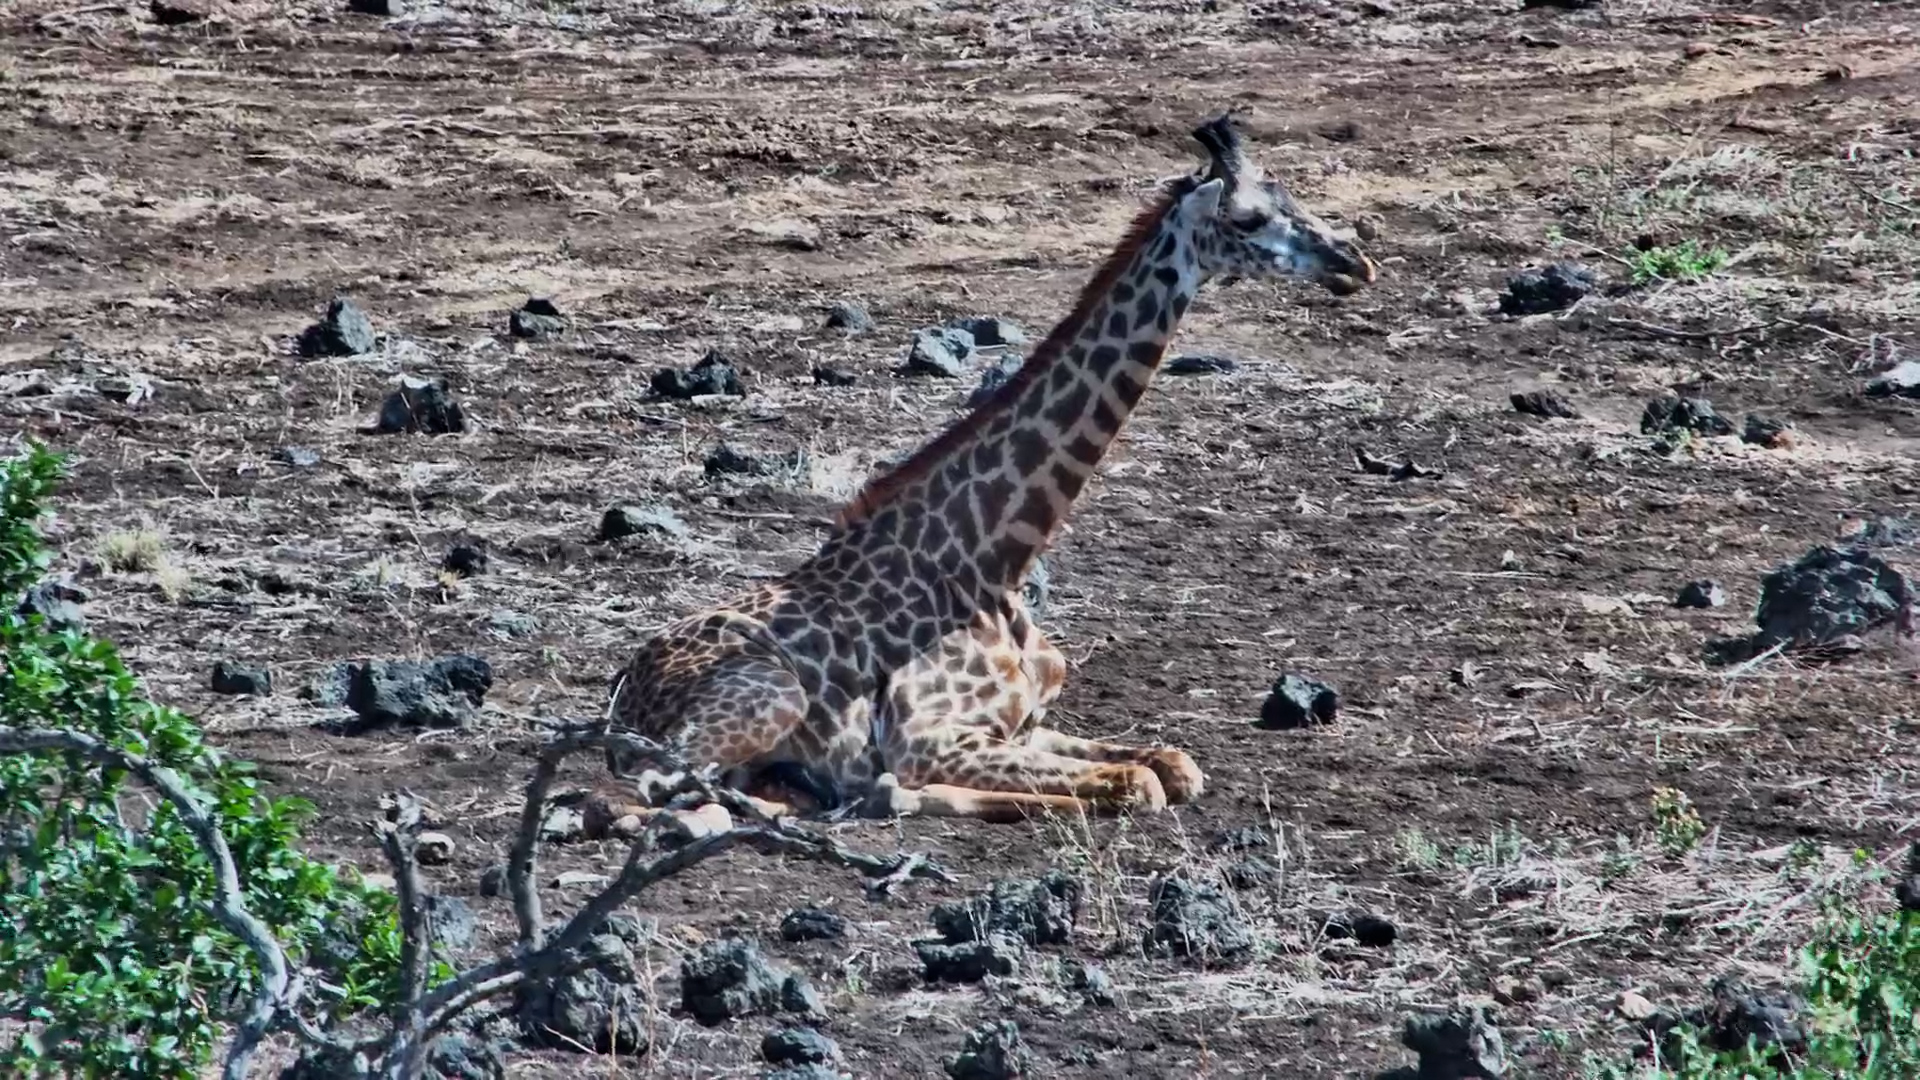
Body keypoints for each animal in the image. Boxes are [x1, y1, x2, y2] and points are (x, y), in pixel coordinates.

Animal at [588, 110, 1376, 835]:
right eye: (1247, 216)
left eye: (1293, 193)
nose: (1355, 262)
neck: (992, 562)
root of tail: (624, 698)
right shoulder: (930, 737)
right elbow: (1140, 783)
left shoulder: (1026, 724)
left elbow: (1173, 765)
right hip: (768, 699)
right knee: (664, 801)